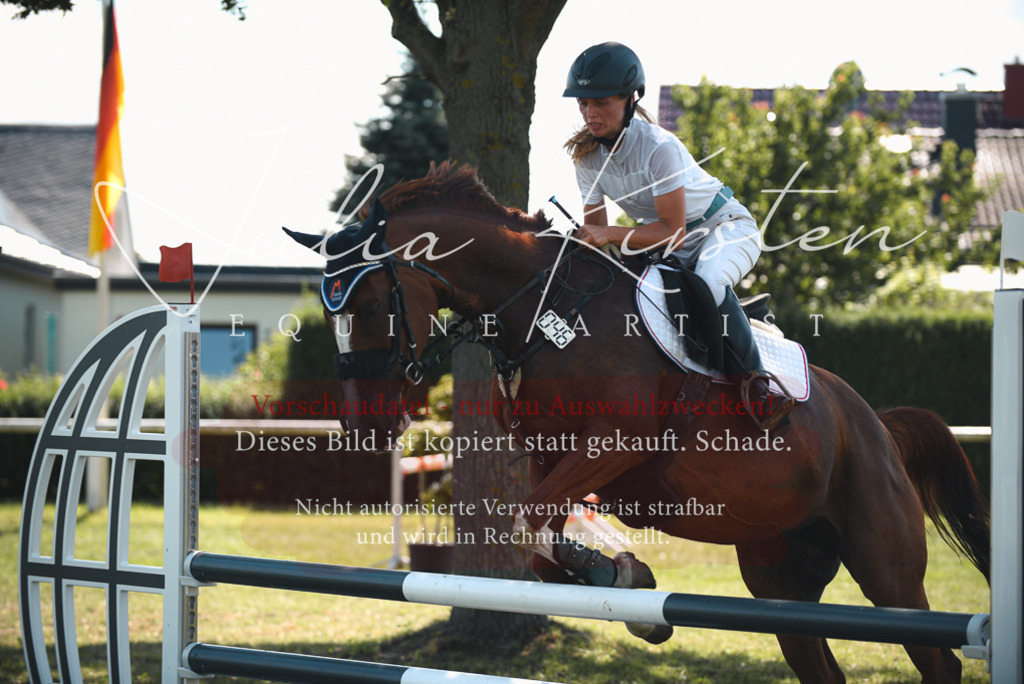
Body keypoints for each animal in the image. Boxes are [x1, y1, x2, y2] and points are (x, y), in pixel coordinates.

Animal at [284, 162, 990, 684]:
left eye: (371, 304)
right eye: (327, 313)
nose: (365, 428)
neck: (542, 310)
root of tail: (877, 426)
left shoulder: (618, 444)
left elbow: (530, 522)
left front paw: (626, 582)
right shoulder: (550, 458)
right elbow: (538, 543)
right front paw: (629, 587)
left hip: (887, 567)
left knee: (938, 658)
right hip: (780, 573)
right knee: (821, 663)